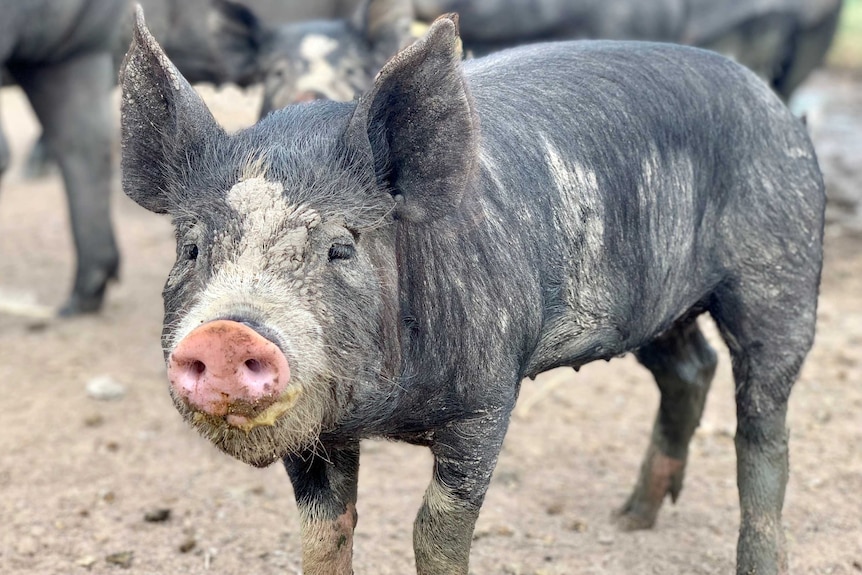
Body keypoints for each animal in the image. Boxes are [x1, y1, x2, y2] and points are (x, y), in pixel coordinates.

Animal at [123, 5, 832, 575]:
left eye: (342, 246)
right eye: (191, 247)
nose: (225, 332)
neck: (385, 415)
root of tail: (778, 109)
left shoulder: (488, 395)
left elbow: (436, 529)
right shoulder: (315, 430)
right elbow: (324, 533)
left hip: (782, 276)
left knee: (763, 429)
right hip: (658, 309)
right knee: (690, 368)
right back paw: (628, 519)